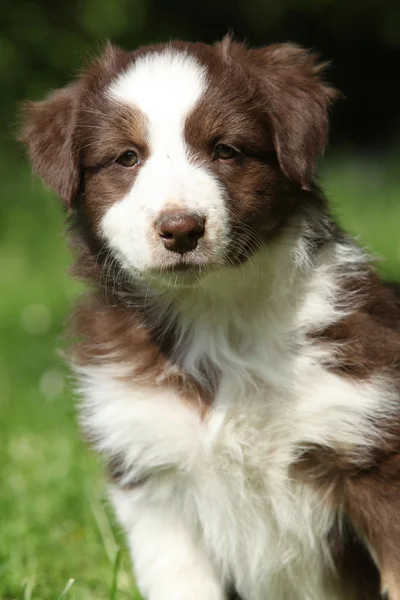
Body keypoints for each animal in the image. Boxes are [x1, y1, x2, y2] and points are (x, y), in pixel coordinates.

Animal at [20, 36, 400, 600]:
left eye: (225, 150)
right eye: (127, 157)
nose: (181, 229)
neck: (216, 314)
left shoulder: (372, 452)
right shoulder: (156, 479)